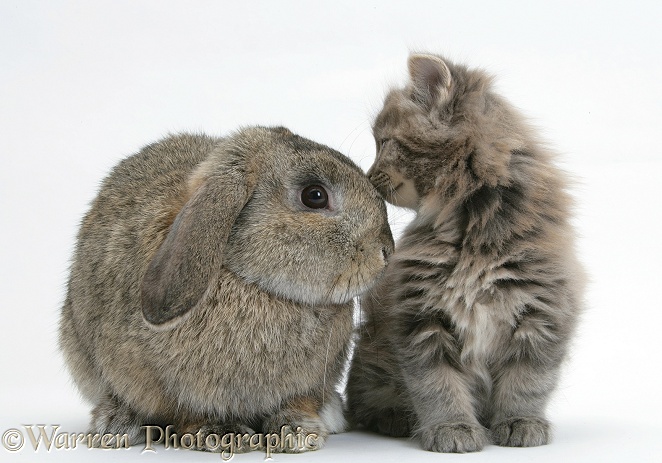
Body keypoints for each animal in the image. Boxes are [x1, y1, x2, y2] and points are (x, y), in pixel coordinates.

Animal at [59, 126, 394, 454]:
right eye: (315, 195)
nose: (386, 250)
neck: (251, 282)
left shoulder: (311, 382)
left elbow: (298, 402)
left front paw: (298, 432)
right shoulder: (168, 385)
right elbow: (186, 412)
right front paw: (223, 433)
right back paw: (115, 424)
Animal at [348, 53, 588, 454]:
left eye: (385, 142)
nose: (368, 176)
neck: (474, 226)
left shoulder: (542, 312)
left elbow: (527, 383)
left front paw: (520, 423)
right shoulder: (420, 318)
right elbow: (437, 386)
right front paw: (452, 429)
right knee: (363, 402)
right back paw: (395, 419)